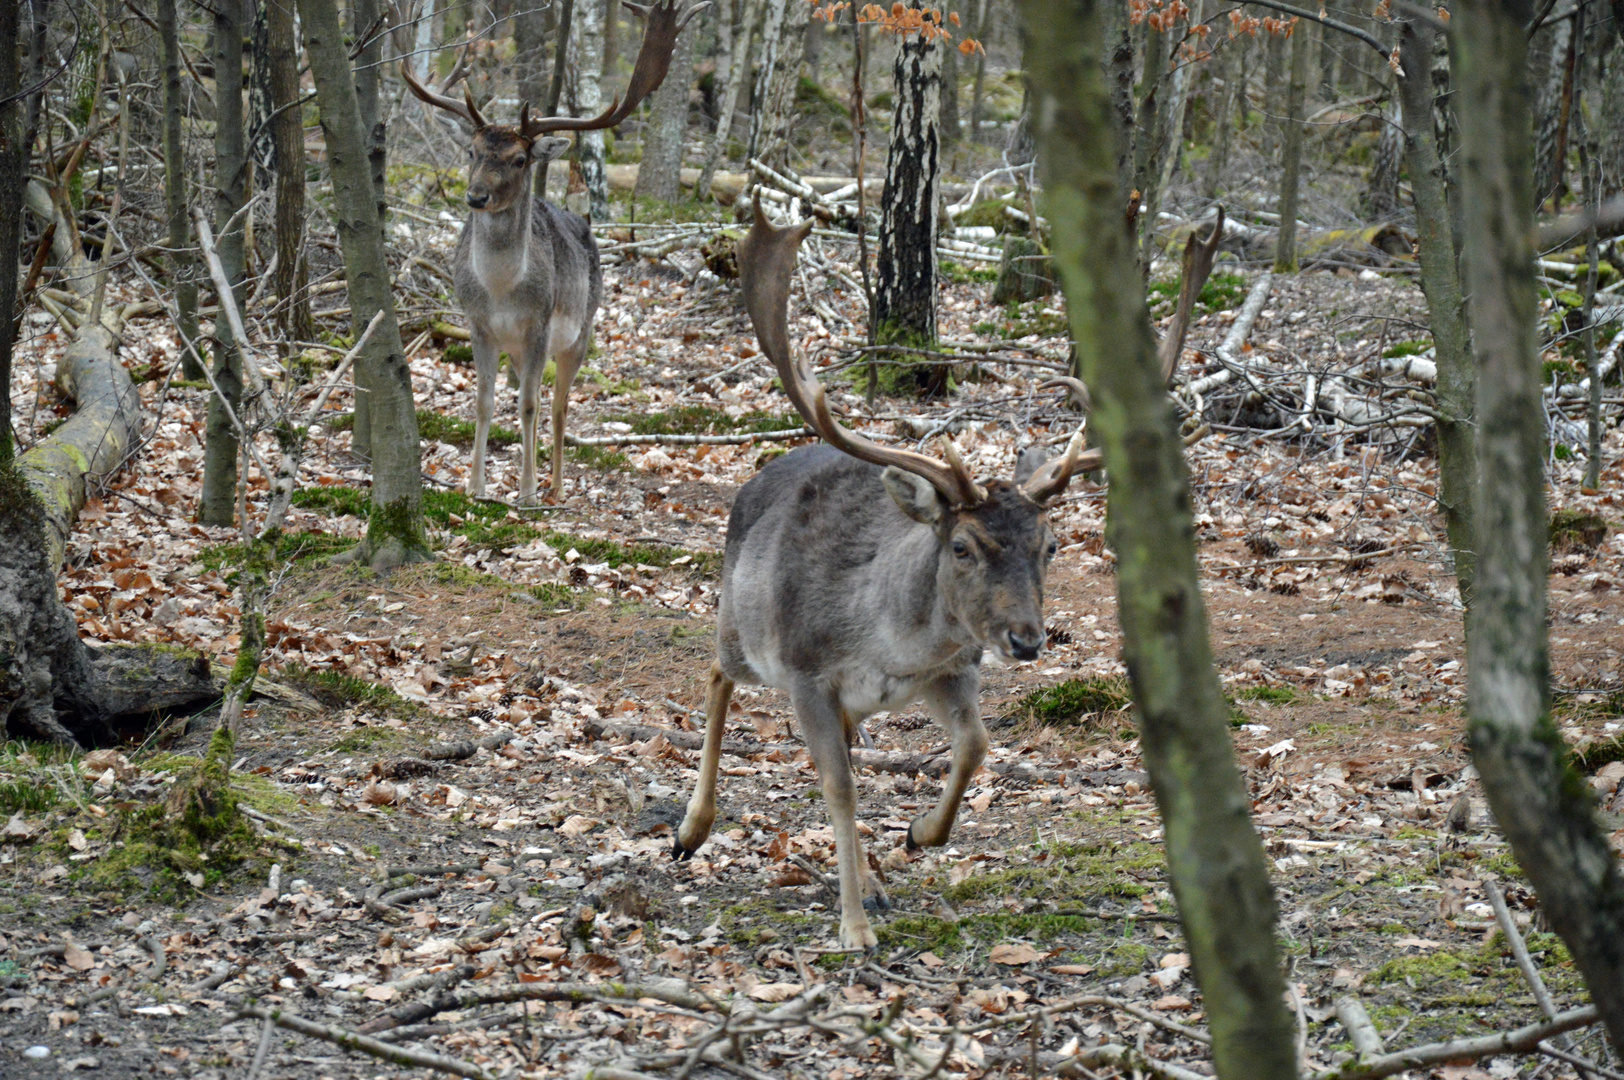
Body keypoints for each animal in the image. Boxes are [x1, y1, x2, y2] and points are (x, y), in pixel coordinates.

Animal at [399, 2, 704, 500]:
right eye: (471, 152)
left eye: (520, 159)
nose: (476, 197)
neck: (502, 291)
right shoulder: (478, 324)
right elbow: (484, 403)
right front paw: (476, 487)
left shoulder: (539, 324)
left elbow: (528, 405)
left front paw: (525, 492)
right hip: (524, 347)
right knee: (542, 401)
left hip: (581, 331)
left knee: (559, 406)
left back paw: (557, 487)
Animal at [669, 199, 1221, 941]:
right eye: (962, 546)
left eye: (1050, 545)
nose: (1026, 639)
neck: (887, 642)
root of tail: (760, 475)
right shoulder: (808, 674)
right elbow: (839, 786)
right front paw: (854, 928)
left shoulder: (945, 672)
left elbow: (976, 745)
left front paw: (919, 834)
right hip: (744, 630)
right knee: (715, 674)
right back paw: (691, 831)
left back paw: (873, 875)